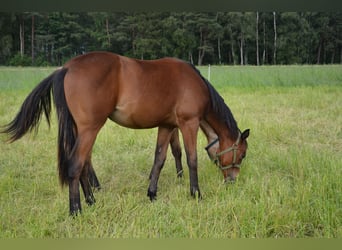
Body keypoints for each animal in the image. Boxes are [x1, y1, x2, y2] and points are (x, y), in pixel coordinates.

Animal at [1, 51, 250, 216]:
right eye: (242, 154)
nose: (233, 180)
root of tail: (66, 68)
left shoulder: (166, 126)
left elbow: (160, 159)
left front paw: (152, 193)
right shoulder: (188, 124)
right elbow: (192, 159)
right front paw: (196, 193)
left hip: (80, 130)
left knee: (83, 165)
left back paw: (91, 200)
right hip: (90, 129)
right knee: (76, 164)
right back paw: (76, 209)